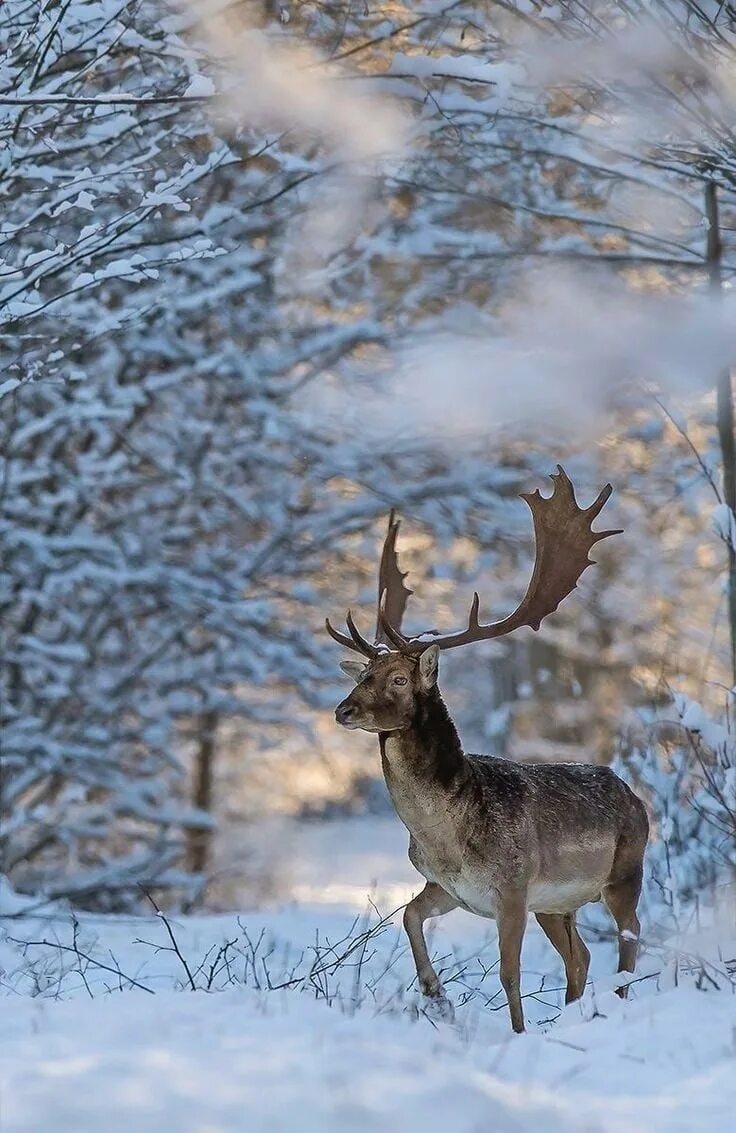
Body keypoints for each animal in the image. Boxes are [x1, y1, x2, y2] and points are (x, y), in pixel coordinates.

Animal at [326, 464, 647, 1033]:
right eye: (363, 673)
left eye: (400, 679)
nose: (344, 710)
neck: (444, 837)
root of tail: (639, 799)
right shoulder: (449, 887)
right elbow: (407, 916)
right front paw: (435, 995)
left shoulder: (513, 887)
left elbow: (509, 973)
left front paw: (516, 1033)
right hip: (558, 903)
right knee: (581, 956)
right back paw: (572, 1014)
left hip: (625, 871)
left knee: (629, 939)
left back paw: (615, 1004)